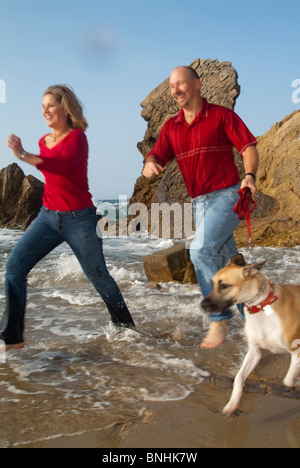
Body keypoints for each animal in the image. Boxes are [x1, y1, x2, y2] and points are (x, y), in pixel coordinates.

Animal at [200, 258, 300, 414]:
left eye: (224, 286)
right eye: (212, 284)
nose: (202, 305)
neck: (262, 307)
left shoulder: (297, 350)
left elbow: (288, 380)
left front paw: (296, 379)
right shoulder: (254, 351)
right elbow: (239, 377)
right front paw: (232, 403)